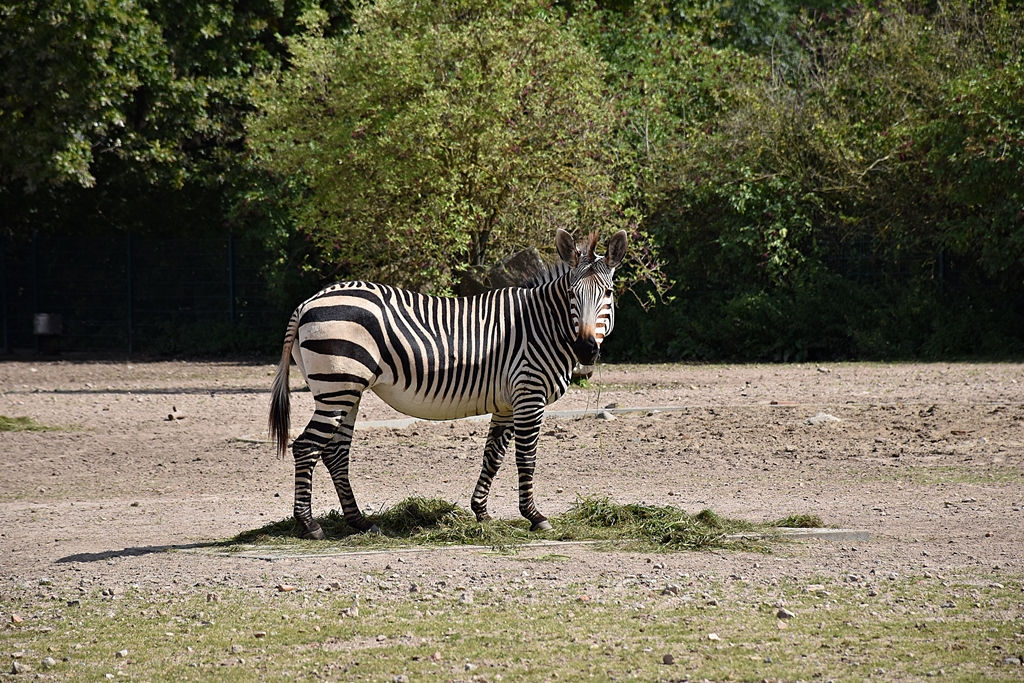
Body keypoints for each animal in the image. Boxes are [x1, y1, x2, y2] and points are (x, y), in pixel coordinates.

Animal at [268, 229, 628, 538]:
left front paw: (482, 512)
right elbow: (526, 458)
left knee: (335, 453)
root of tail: (307, 303)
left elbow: (493, 456)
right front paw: (535, 516)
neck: (543, 326)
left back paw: (360, 522)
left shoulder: (507, 402)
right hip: (338, 387)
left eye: (608, 294)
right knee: (307, 447)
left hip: (347, 391)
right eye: (571, 294)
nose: (586, 349)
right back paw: (310, 525)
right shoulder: (529, 394)